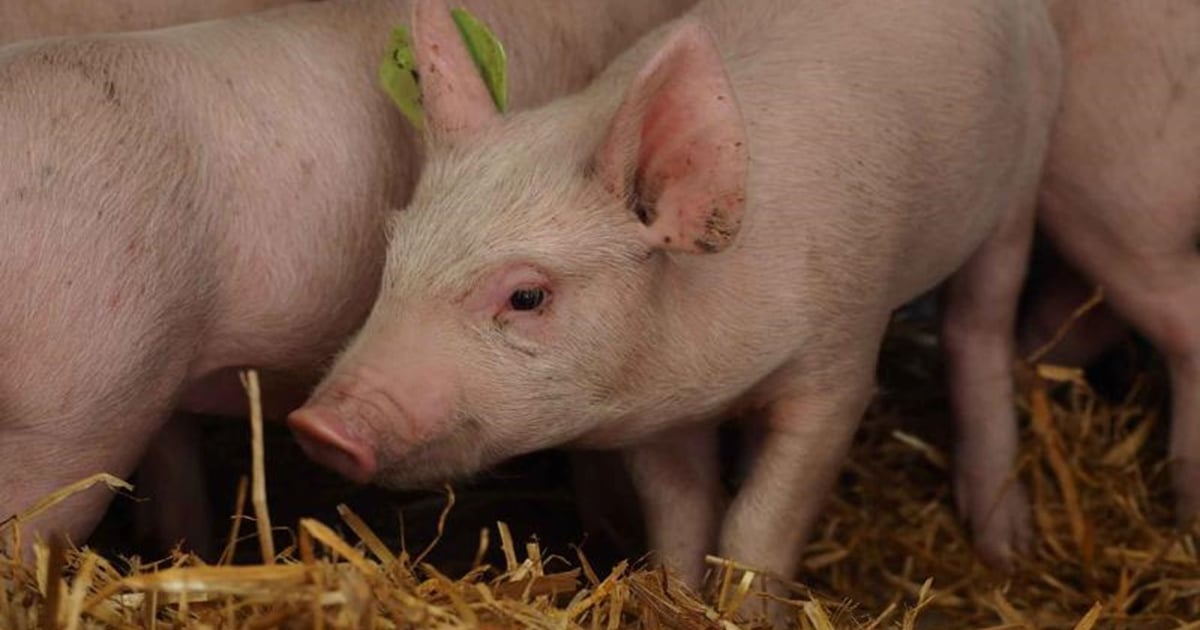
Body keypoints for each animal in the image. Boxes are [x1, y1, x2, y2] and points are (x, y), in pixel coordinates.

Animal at [290, 0, 1062, 593]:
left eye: (527, 296)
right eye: (393, 253)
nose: (317, 426)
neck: (717, 376)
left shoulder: (838, 366)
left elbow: (757, 527)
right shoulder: (652, 418)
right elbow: (682, 521)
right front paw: (680, 594)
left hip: (1022, 177)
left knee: (978, 329)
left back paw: (1007, 548)